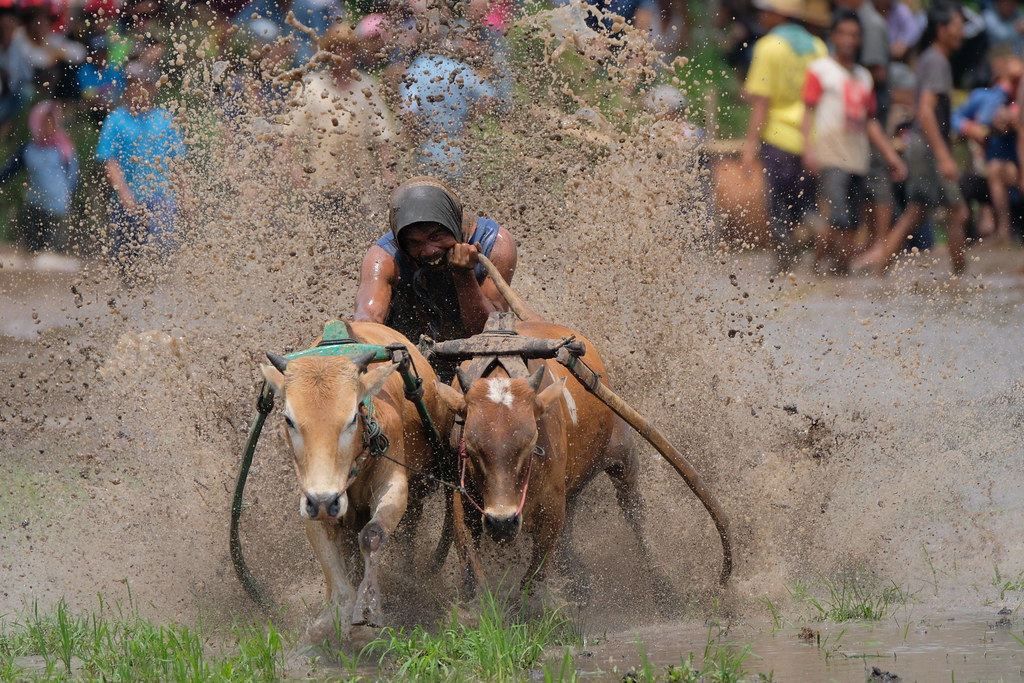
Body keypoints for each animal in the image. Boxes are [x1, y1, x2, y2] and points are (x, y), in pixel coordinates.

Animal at [432, 321, 663, 602]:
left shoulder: (552, 510)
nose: (502, 522)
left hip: (623, 455)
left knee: (634, 512)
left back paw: (665, 588)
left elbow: (533, 579)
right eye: (471, 448)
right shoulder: (463, 507)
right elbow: (476, 579)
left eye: (531, 444)